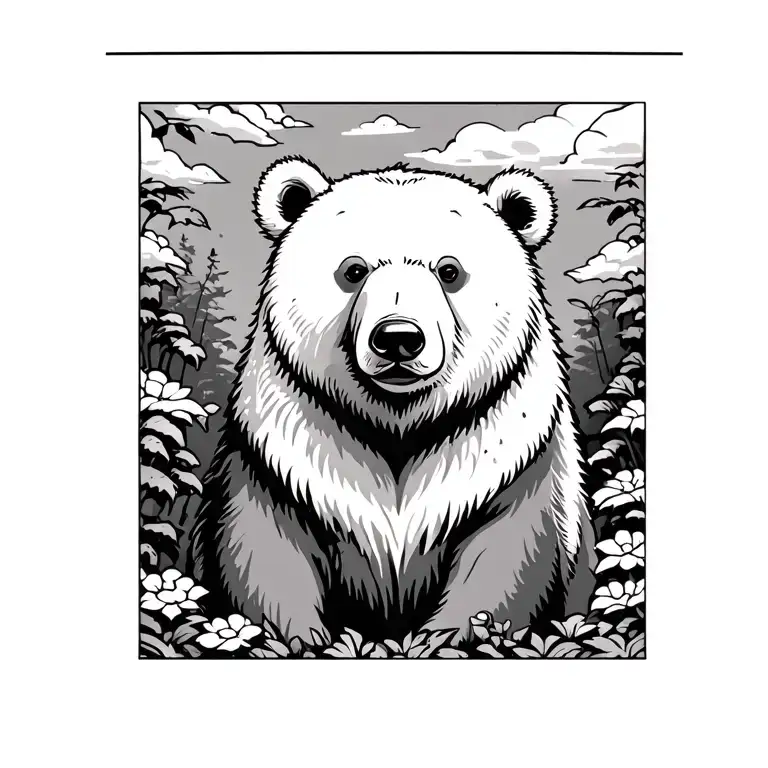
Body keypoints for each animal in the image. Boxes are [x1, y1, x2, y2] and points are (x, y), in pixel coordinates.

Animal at [191, 156, 596, 644]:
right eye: (353, 270)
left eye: (449, 271)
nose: (398, 337)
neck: (398, 420)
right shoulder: (282, 456)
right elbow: (263, 550)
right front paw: (299, 637)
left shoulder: (509, 457)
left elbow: (507, 558)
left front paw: (446, 638)